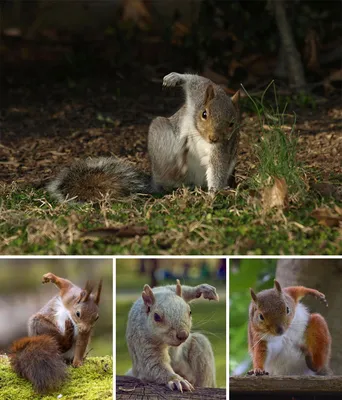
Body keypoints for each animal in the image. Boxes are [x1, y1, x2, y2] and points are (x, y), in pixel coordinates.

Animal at [46, 72, 240, 202]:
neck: (200, 133)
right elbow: (194, 80)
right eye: (204, 114)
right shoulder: (198, 93)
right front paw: (174, 78)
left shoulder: (222, 148)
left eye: (232, 124)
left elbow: (218, 167)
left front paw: (214, 193)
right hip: (160, 133)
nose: (213, 138)